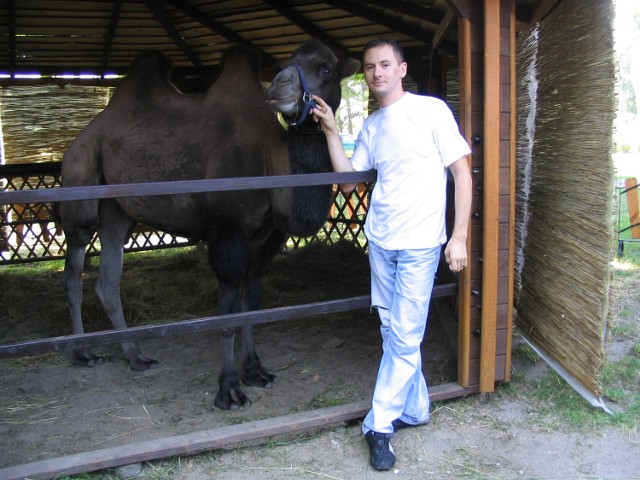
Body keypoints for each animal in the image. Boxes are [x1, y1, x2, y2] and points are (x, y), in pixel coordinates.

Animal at [59, 39, 360, 410]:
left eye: (326, 69)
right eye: (284, 65)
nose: (279, 86)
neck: (270, 161)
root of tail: (82, 136)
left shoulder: (266, 236)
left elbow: (251, 303)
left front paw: (256, 370)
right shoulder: (227, 230)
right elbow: (228, 313)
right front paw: (229, 389)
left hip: (117, 209)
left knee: (108, 280)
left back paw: (135, 355)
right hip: (81, 184)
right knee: (74, 268)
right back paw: (83, 352)